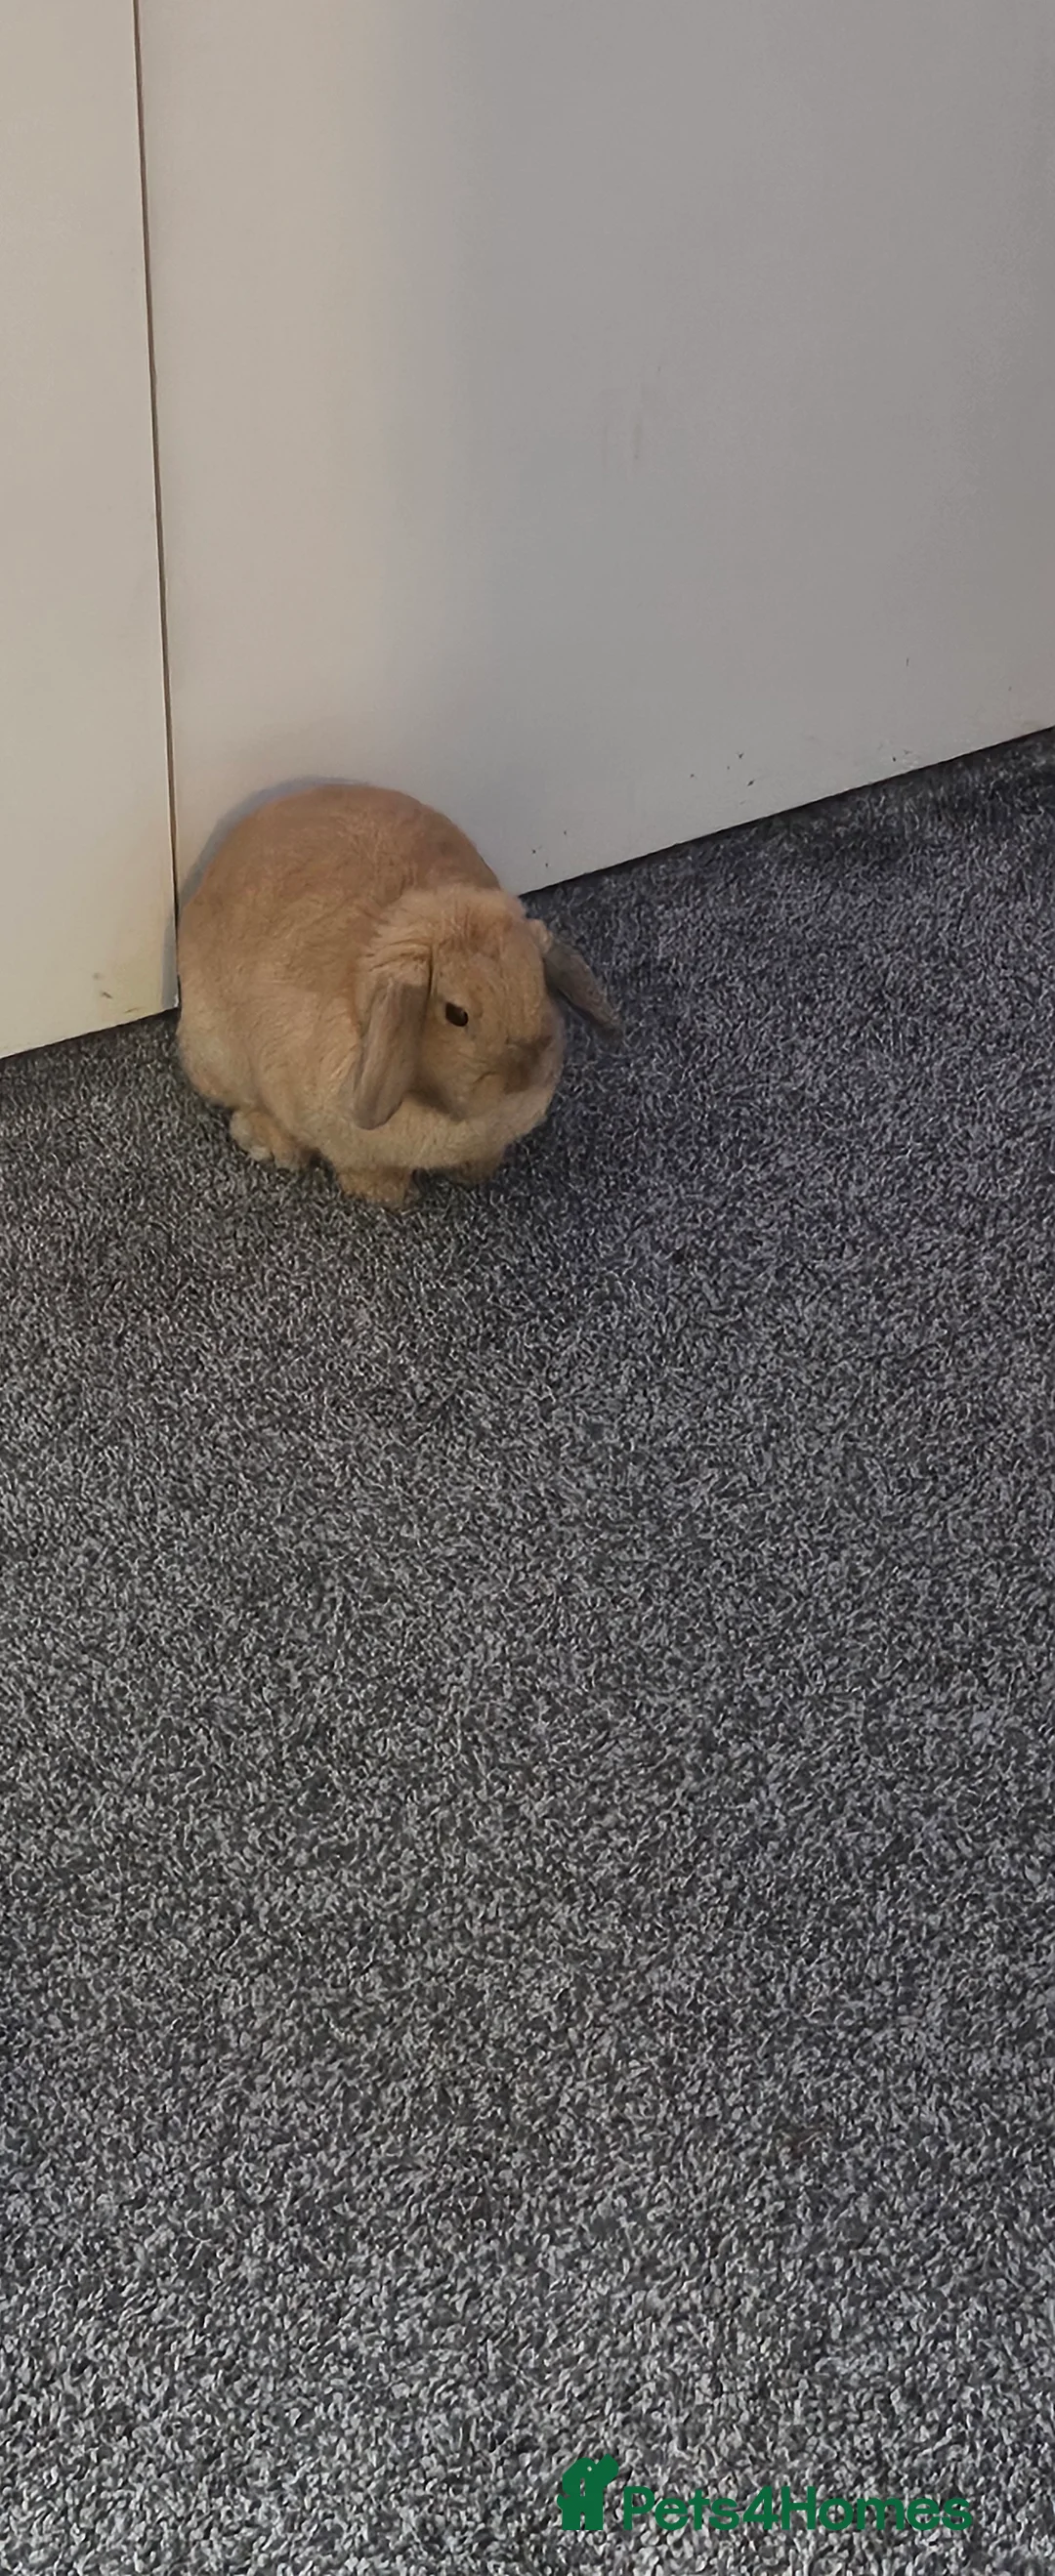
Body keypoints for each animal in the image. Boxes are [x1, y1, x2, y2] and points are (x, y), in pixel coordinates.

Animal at [177, 783, 619, 1206]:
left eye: (537, 983)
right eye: (456, 1014)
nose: (522, 1076)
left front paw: (476, 1172)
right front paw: (388, 1195)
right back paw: (271, 1144)